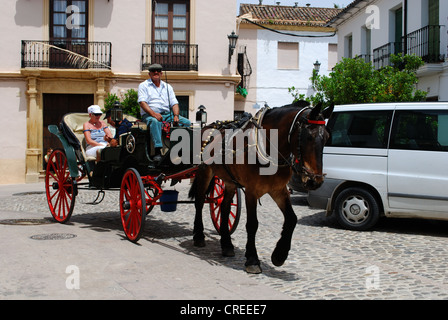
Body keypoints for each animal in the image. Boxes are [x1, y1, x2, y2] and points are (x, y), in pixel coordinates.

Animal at [188, 101, 332, 274]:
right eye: (308, 137)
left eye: (327, 138)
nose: (315, 181)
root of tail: (208, 126)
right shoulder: (251, 191)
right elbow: (252, 224)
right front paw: (252, 259)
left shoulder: (279, 190)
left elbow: (292, 219)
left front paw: (279, 254)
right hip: (205, 172)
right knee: (199, 202)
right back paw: (199, 236)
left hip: (230, 181)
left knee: (224, 207)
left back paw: (227, 244)